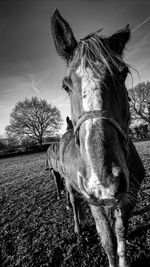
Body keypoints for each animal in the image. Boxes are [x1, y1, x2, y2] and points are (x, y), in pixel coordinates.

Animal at [51, 9, 145, 267]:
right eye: (65, 86)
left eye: (122, 74)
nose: (102, 181)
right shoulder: (95, 202)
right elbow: (108, 241)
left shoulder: (128, 197)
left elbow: (121, 234)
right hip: (70, 184)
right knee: (73, 202)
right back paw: (77, 227)